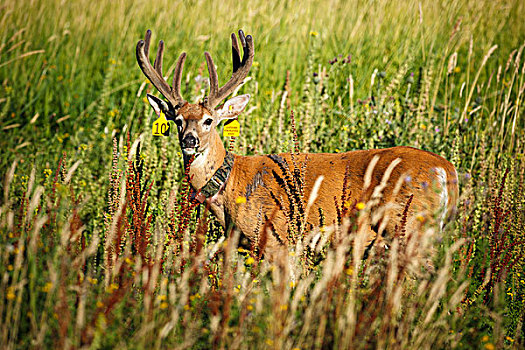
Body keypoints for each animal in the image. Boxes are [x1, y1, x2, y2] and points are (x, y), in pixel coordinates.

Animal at [136, 29, 458, 260]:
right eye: (178, 120)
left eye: (209, 120)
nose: (189, 140)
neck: (232, 187)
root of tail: (446, 170)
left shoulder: (276, 238)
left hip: (409, 227)